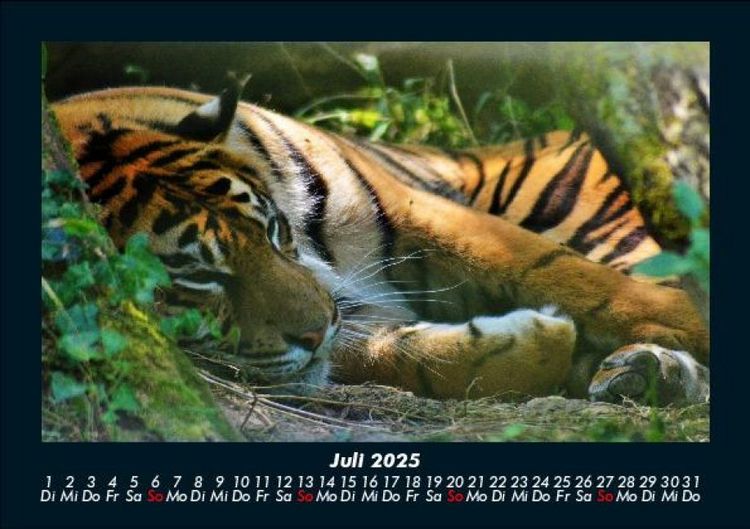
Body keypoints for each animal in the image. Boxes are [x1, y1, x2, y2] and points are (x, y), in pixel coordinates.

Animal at [50, 77, 710, 406]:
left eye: (273, 230)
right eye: (197, 278)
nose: (318, 328)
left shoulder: (412, 209)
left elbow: (557, 271)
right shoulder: (338, 321)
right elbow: (401, 355)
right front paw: (530, 347)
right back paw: (643, 373)